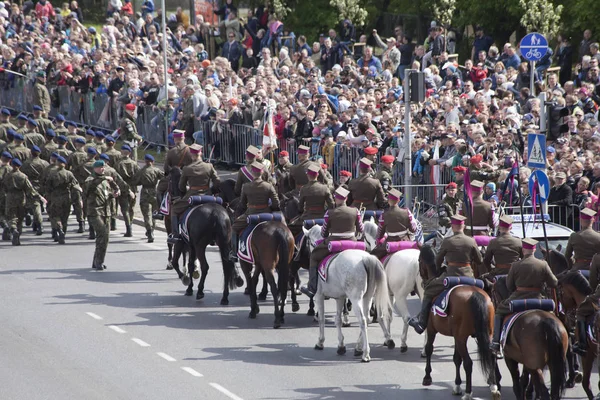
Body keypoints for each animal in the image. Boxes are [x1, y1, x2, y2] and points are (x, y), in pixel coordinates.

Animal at [304, 225, 394, 362]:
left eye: (308, 242)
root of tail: (366, 258)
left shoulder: (319, 295)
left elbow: (321, 319)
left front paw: (320, 342)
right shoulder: (340, 298)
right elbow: (338, 320)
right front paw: (341, 346)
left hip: (356, 298)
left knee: (363, 320)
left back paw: (365, 353)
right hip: (367, 297)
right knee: (367, 318)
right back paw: (359, 348)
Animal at [360, 220, 426, 354]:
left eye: (363, 236)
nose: (365, 248)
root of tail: (416, 260)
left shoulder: (379, 294)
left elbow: (382, 316)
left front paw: (388, 339)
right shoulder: (390, 295)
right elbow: (389, 316)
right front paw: (388, 339)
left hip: (401, 297)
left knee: (406, 318)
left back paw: (403, 343)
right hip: (422, 294)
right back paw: (424, 350)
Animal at [420, 247, 500, 400]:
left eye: (419, 260)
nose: (422, 281)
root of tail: (476, 294)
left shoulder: (432, 329)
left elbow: (429, 349)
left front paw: (427, 377)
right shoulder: (456, 336)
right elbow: (456, 359)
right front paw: (457, 385)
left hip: (462, 337)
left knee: (468, 362)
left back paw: (468, 392)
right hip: (486, 334)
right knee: (491, 355)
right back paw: (494, 387)